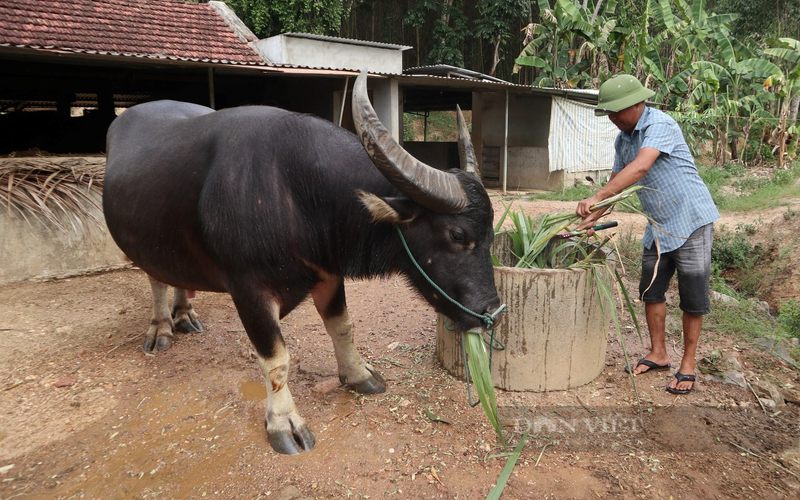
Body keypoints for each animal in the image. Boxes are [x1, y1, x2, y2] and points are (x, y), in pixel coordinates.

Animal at [102, 68, 496, 456]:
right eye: (457, 235)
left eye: (492, 232)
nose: (493, 312)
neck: (295, 195)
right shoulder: (249, 291)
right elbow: (276, 359)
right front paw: (283, 422)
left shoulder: (328, 273)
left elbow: (343, 327)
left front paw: (359, 375)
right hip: (144, 243)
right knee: (156, 277)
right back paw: (161, 328)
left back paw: (184, 315)